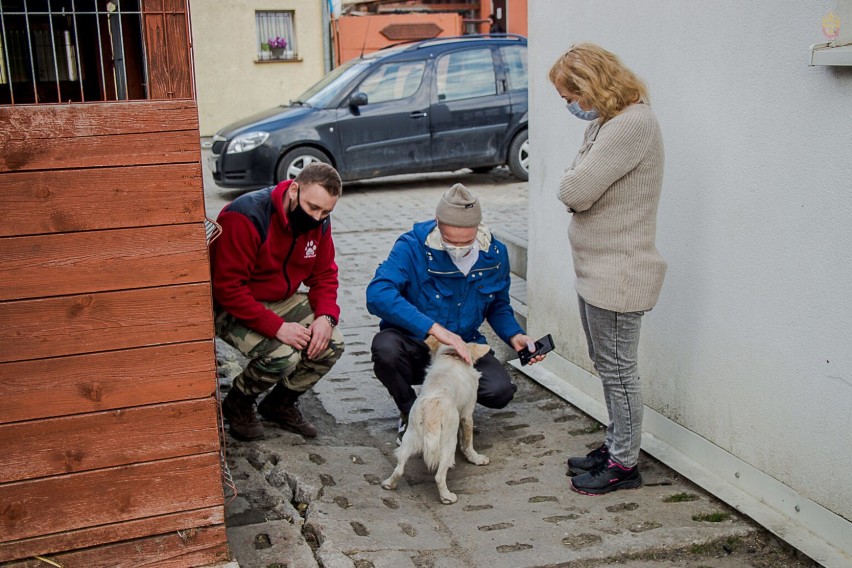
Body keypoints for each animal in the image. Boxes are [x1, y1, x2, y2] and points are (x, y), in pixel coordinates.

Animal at [382, 338, 492, 502]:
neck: (452, 356)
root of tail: (432, 408)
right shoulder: (466, 415)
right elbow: (468, 442)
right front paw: (476, 458)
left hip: (410, 438)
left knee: (399, 468)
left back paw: (389, 484)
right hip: (448, 443)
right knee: (439, 476)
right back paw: (447, 497)